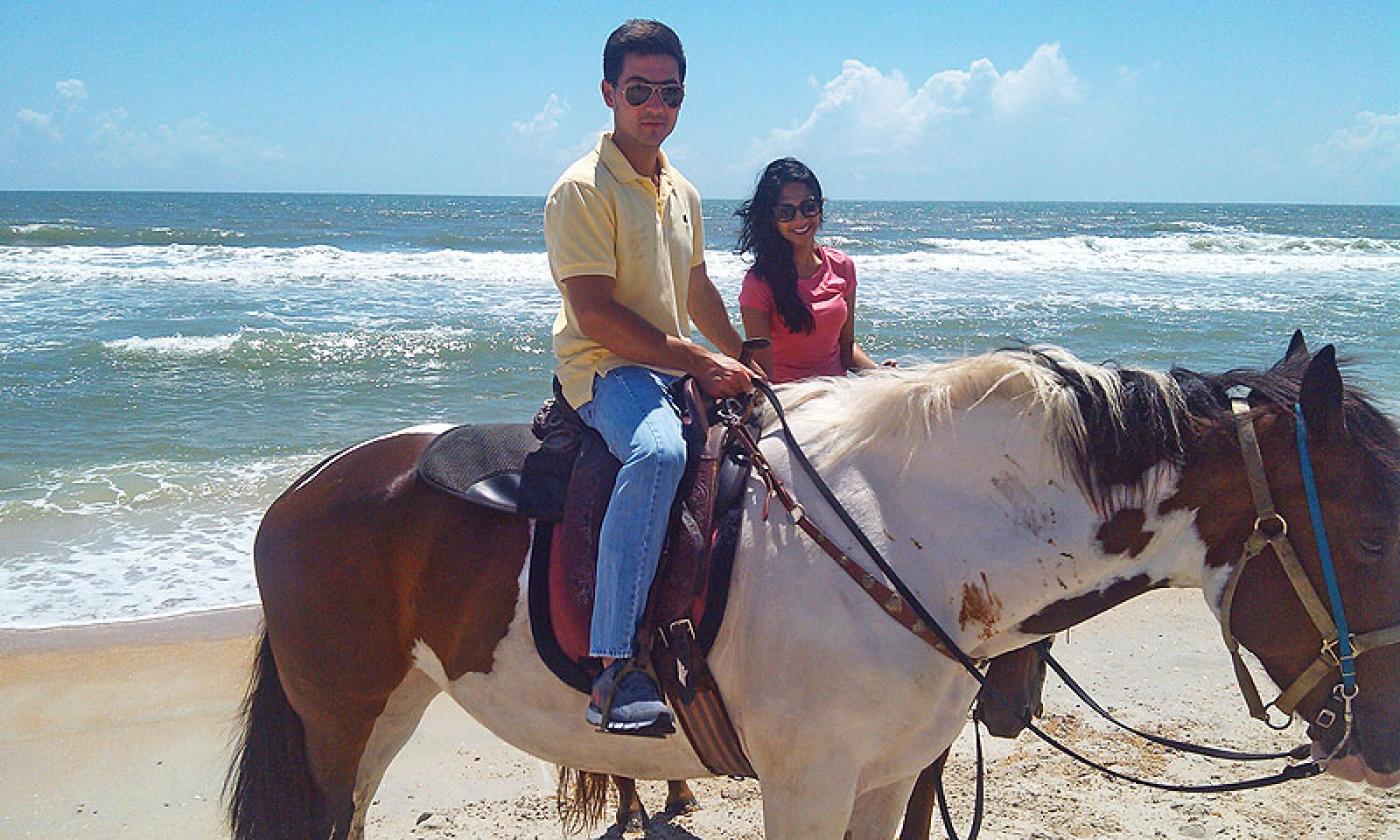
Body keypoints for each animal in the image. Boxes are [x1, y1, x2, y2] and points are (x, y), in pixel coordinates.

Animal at [229, 336, 1400, 840]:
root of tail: (305, 485)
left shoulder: (888, 779)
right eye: (1374, 538)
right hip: (341, 721)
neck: (912, 541)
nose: (1382, 746)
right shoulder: (806, 785)